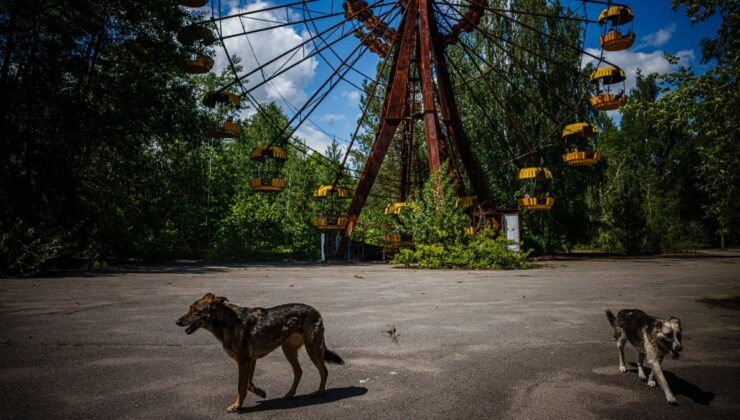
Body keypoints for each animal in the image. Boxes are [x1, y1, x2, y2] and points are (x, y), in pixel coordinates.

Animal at [176, 294, 344, 412]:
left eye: (196, 311)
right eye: (189, 308)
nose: (177, 322)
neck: (228, 322)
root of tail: (316, 311)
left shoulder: (243, 361)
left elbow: (241, 386)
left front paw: (237, 406)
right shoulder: (250, 360)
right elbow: (248, 384)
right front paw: (260, 392)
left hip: (312, 349)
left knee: (324, 370)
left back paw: (320, 391)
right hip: (288, 350)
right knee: (299, 371)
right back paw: (290, 393)